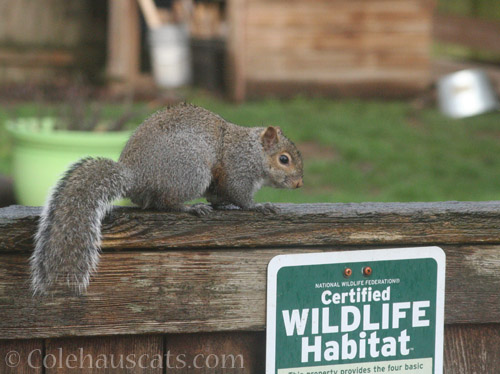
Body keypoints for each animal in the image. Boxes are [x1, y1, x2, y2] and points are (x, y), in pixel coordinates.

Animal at [32, 103, 304, 296]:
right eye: (284, 159)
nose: (300, 184)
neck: (252, 150)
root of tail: (136, 176)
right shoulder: (238, 171)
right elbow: (242, 196)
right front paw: (260, 206)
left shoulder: (219, 184)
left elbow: (218, 197)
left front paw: (224, 205)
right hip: (191, 171)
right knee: (166, 202)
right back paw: (190, 208)